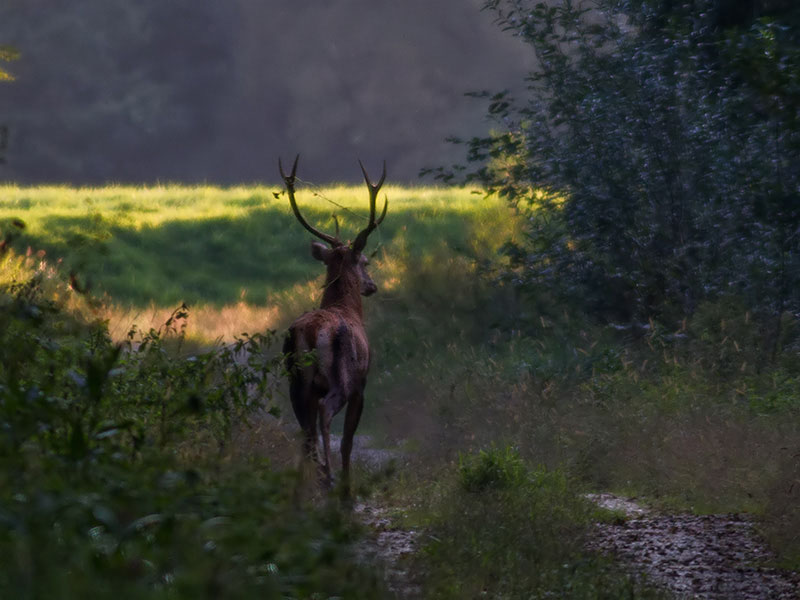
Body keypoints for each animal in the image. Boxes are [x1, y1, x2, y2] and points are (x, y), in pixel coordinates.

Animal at [282, 157, 388, 494]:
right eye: (365, 262)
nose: (372, 285)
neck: (346, 308)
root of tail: (309, 333)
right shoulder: (361, 384)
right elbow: (349, 442)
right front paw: (346, 485)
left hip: (296, 382)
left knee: (305, 430)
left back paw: (303, 484)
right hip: (340, 377)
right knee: (326, 416)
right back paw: (328, 478)